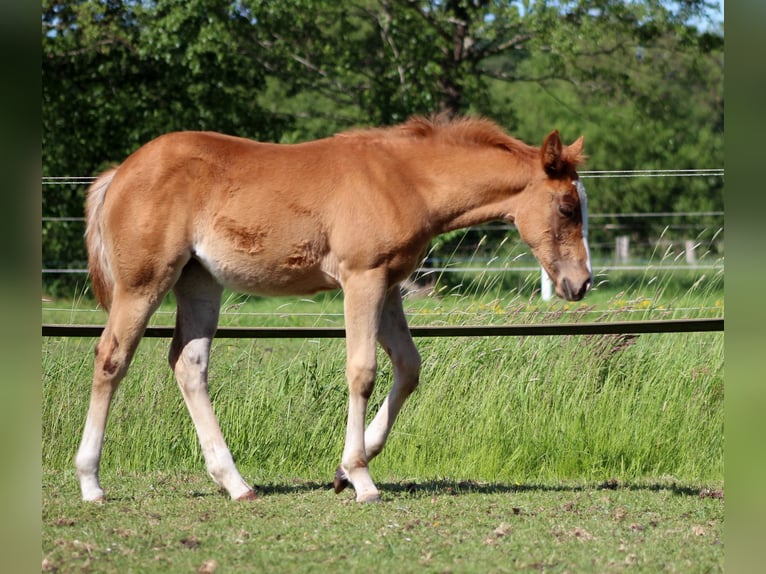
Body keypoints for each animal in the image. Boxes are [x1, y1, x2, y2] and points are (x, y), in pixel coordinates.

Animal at [76, 115, 591, 503]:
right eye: (568, 207)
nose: (581, 283)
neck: (406, 180)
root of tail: (119, 173)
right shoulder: (361, 279)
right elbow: (362, 371)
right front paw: (361, 478)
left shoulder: (388, 285)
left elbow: (408, 368)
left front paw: (345, 471)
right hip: (143, 283)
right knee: (112, 358)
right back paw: (91, 482)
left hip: (199, 282)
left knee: (189, 364)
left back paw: (236, 483)